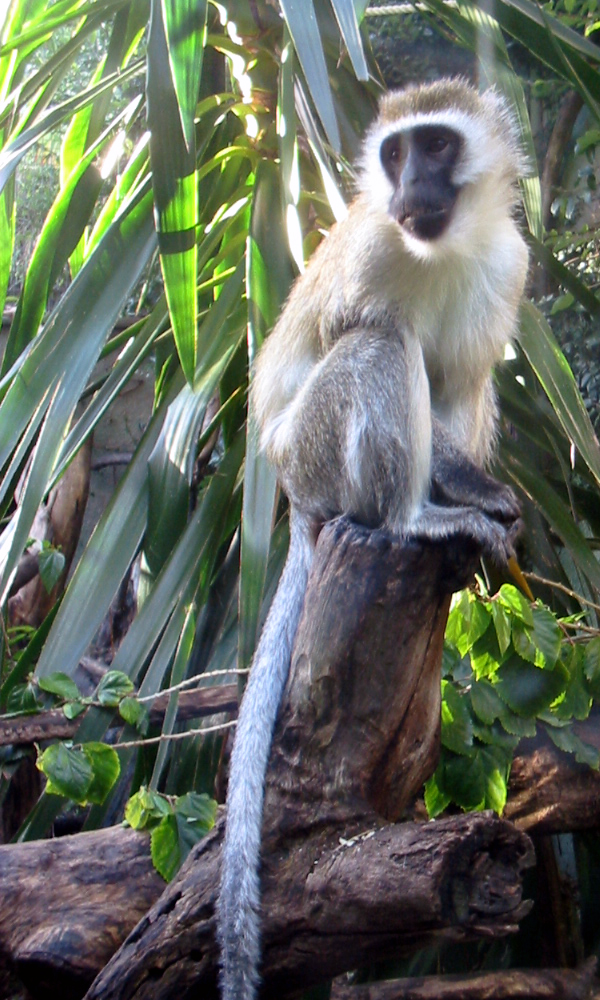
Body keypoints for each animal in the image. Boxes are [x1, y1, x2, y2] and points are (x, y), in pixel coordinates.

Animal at [218, 80, 528, 1000]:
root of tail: (289, 493)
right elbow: (365, 332)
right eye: (394, 154)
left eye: (435, 145)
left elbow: (460, 386)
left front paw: (483, 490)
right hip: (315, 451)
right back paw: (411, 518)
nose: (407, 189)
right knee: (379, 343)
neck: (446, 246)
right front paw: (462, 500)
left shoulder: (507, 264)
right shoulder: (370, 249)